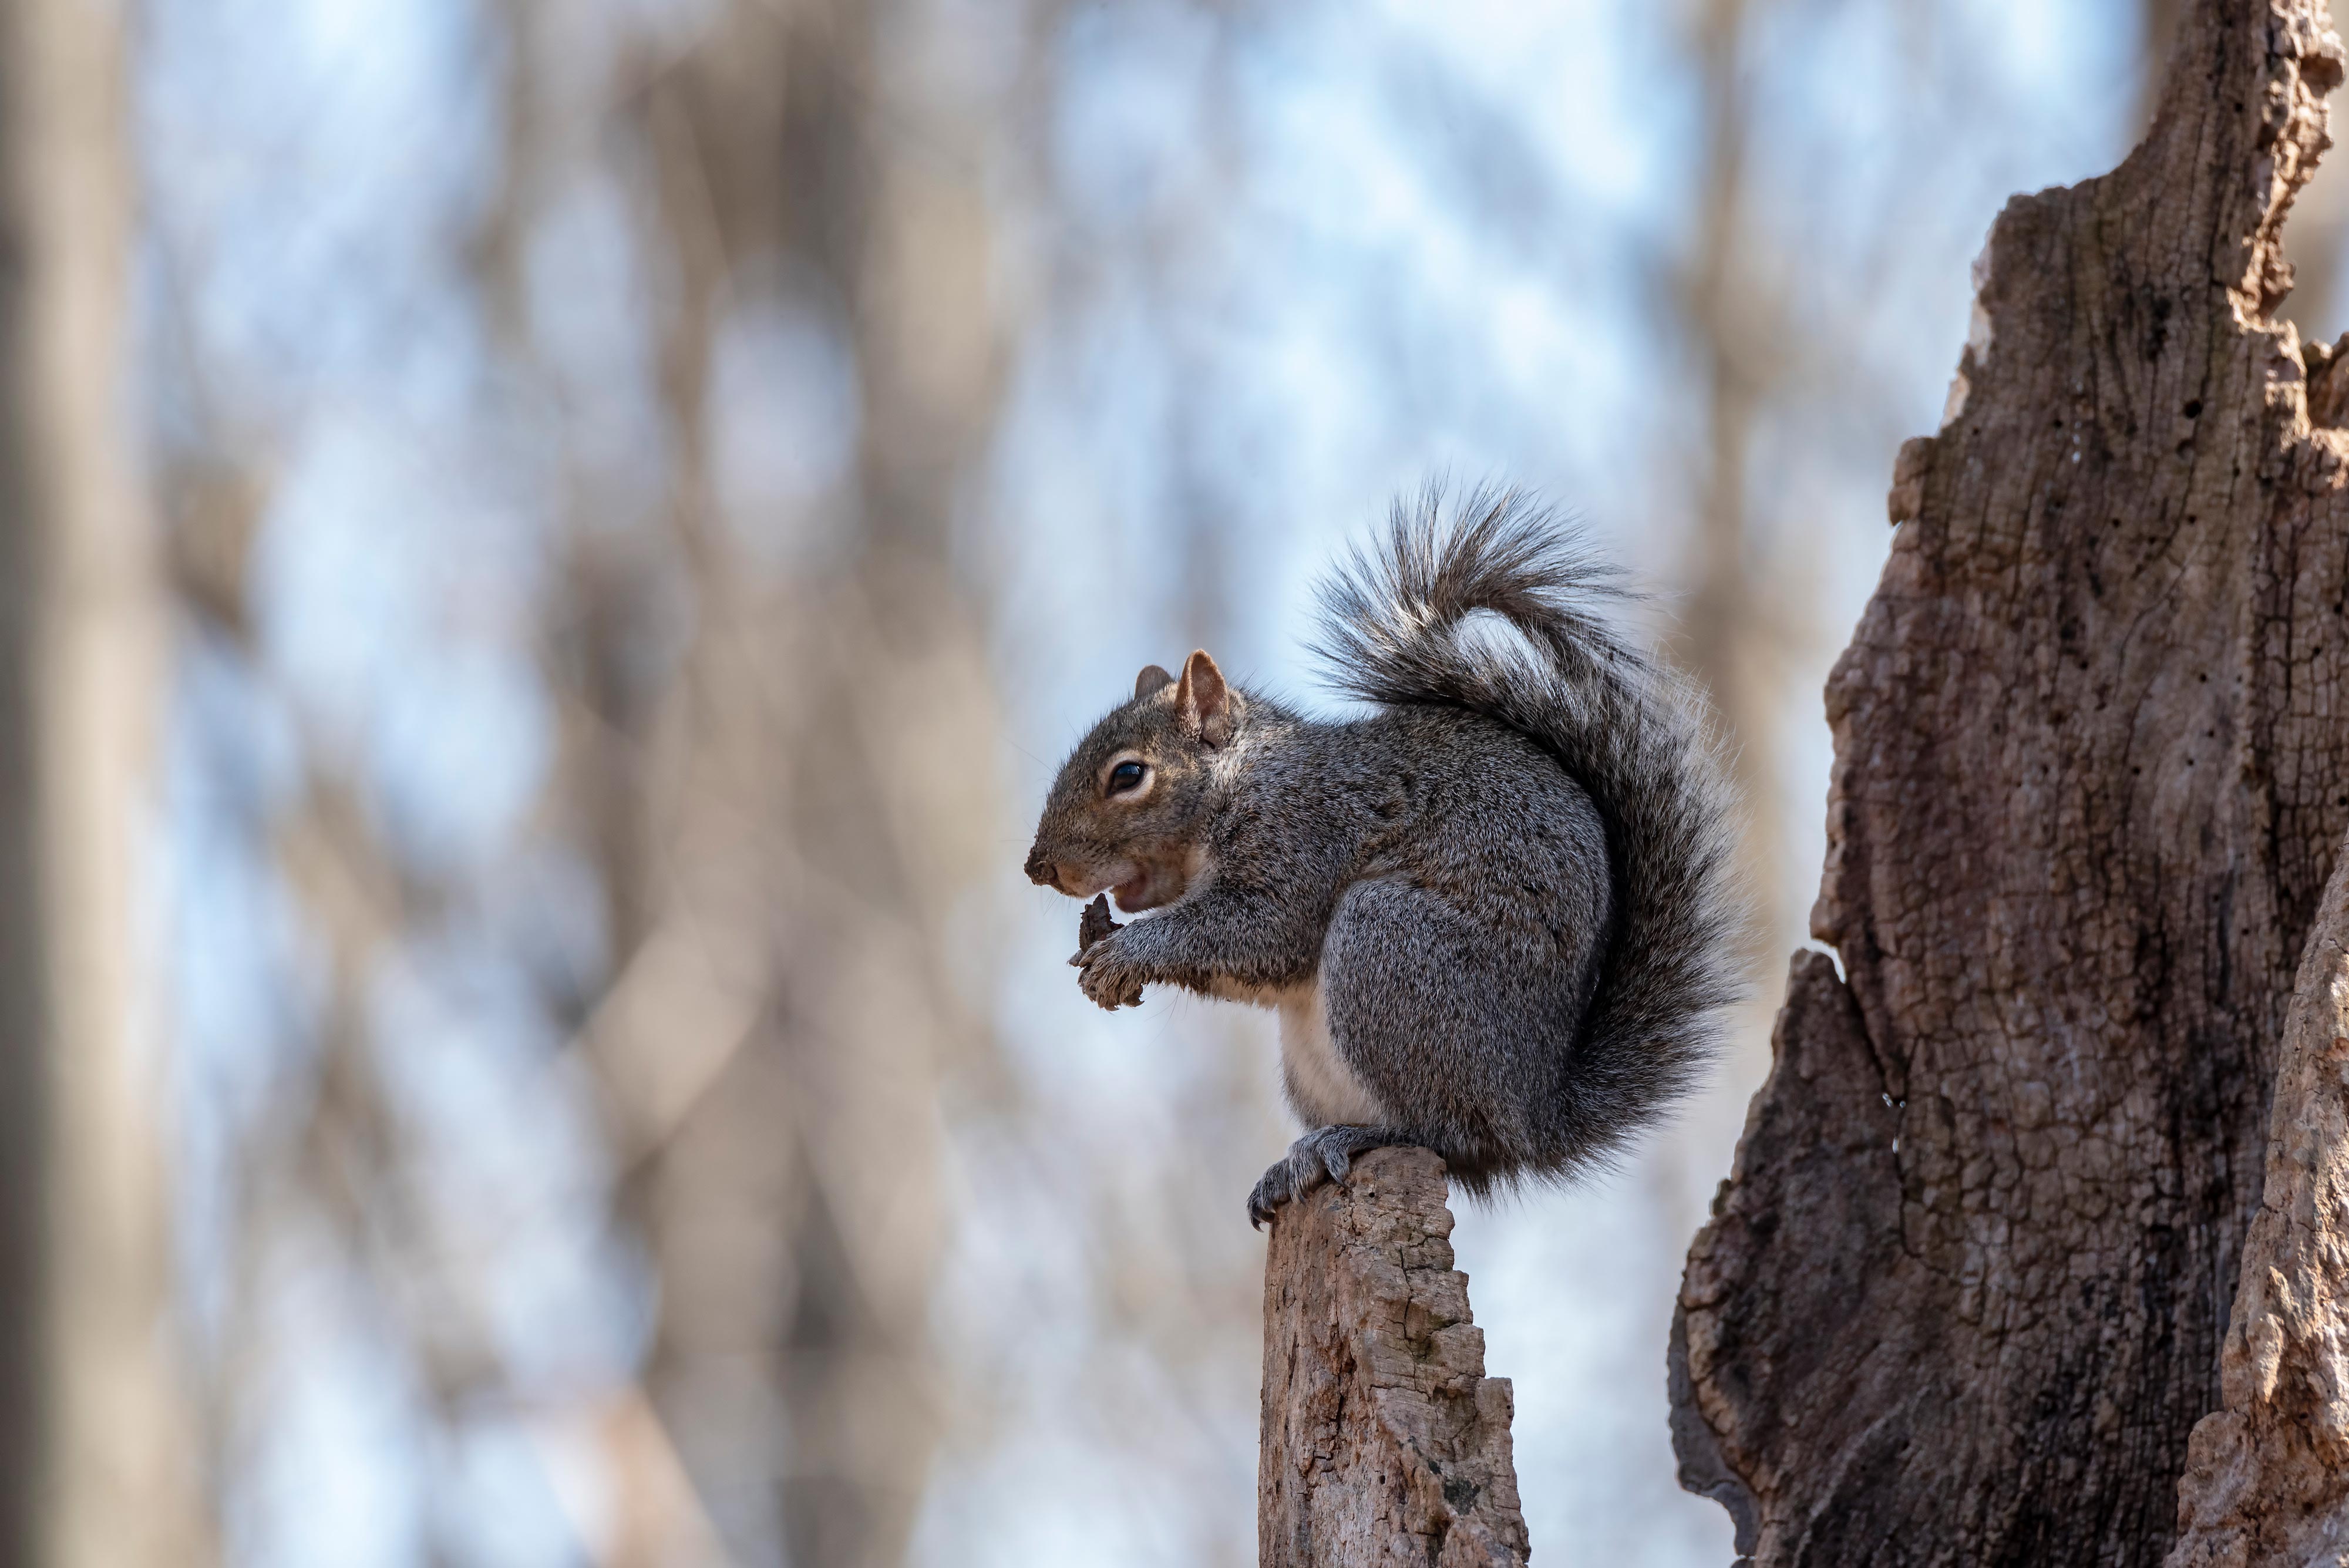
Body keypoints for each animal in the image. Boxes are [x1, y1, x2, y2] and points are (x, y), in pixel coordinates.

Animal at [1024, 490, 1748, 1220]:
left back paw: (1359, 1138)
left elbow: (1264, 933)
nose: (1038, 868)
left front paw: (1125, 954)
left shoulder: (1305, 839)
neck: (1245, 782)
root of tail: (1531, 1117)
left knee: (1446, 1135)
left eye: (1128, 776)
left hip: (1395, 953)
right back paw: (1295, 1165)